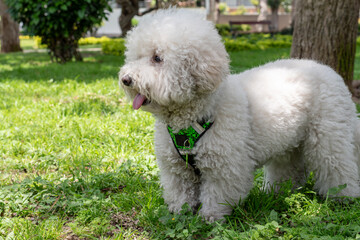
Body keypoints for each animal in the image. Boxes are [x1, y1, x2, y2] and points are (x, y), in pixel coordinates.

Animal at [119, 7, 360, 221]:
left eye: (157, 58)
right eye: (135, 57)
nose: (126, 79)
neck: (190, 118)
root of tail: (330, 71)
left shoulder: (225, 165)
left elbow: (217, 195)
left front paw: (210, 219)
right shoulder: (176, 168)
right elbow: (180, 193)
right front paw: (180, 215)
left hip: (329, 136)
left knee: (338, 167)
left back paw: (344, 197)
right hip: (289, 144)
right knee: (289, 169)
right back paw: (278, 193)